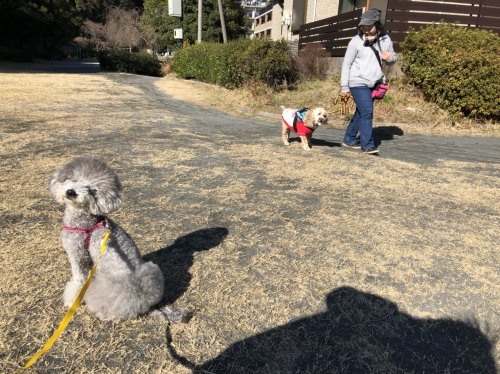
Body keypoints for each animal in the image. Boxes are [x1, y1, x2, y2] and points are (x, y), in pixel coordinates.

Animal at [49, 156, 187, 322]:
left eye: (91, 189)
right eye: (73, 179)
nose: (71, 192)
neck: (86, 223)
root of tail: (147, 303)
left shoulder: (77, 254)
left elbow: (78, 281)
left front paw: (71, 301)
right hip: (150, 267)